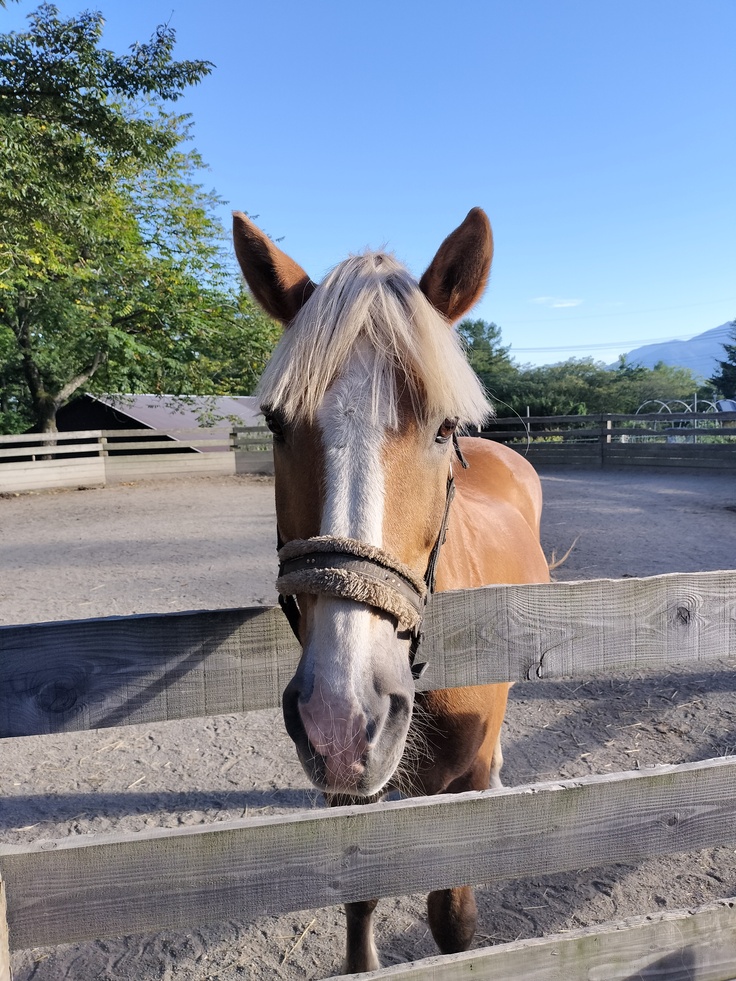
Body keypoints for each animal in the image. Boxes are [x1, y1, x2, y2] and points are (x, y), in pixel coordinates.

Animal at [232, 207, 550, 973]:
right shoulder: (348, 795)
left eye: (443, 428)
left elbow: (453, 922)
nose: (341, 718)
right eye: (277, 424)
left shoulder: (459, 795)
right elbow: (360, 895)